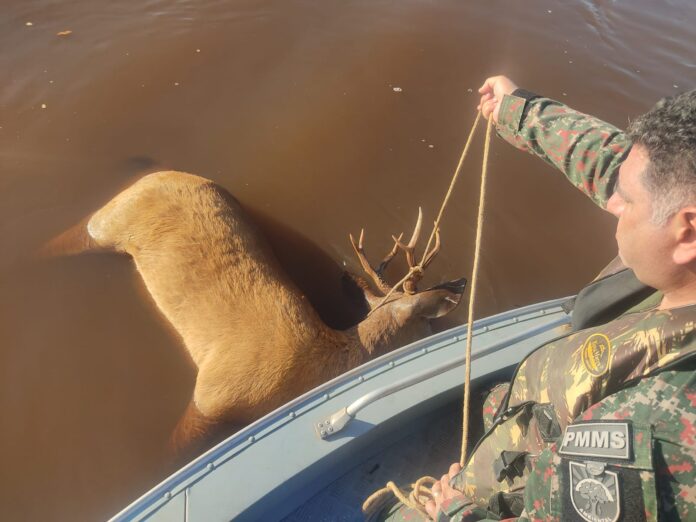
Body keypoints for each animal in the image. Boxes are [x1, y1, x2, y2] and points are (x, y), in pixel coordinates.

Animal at [44, 171, 468, 450]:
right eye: (429, 324)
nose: (460, 287)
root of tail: (152, 174)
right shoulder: (212, 394)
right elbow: (175, 446)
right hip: (105, 225)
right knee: (61, 240)